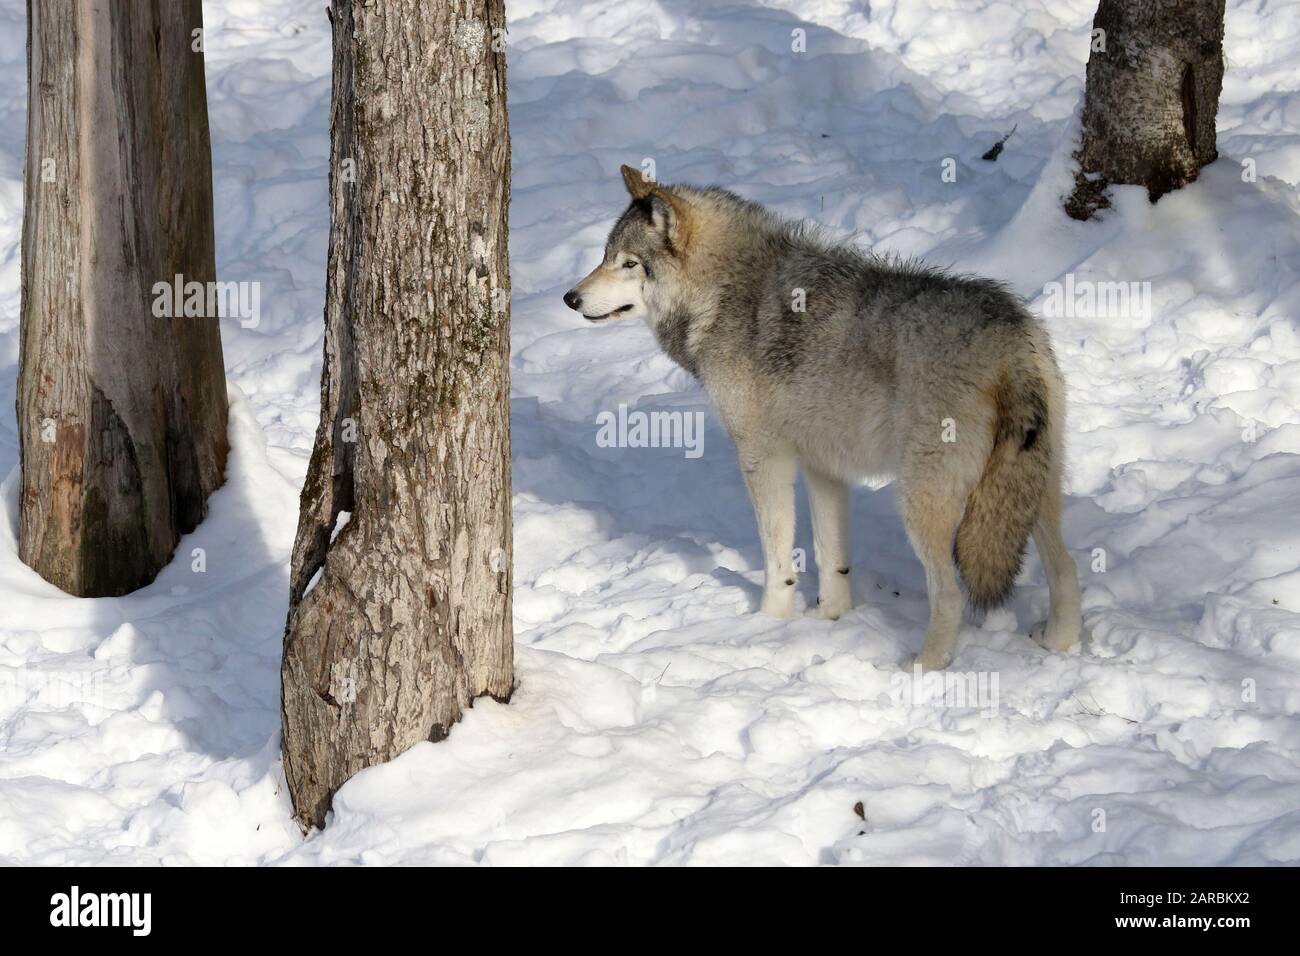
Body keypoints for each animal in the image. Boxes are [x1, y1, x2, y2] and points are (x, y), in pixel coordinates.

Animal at [564, 164, 1081, 671]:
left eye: (630, 264)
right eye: (605, 256)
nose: (571, 298)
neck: (724, 292)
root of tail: (1011, 343)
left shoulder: (762, 457)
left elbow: (778, 558)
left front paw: (768, 624)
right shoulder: (824, 466)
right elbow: (832, 557)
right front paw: (832, 618)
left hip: (923, 502)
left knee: (951, 595)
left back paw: (921, 668)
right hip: (1032, 492)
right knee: (1068, 570)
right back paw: (1057, 641)